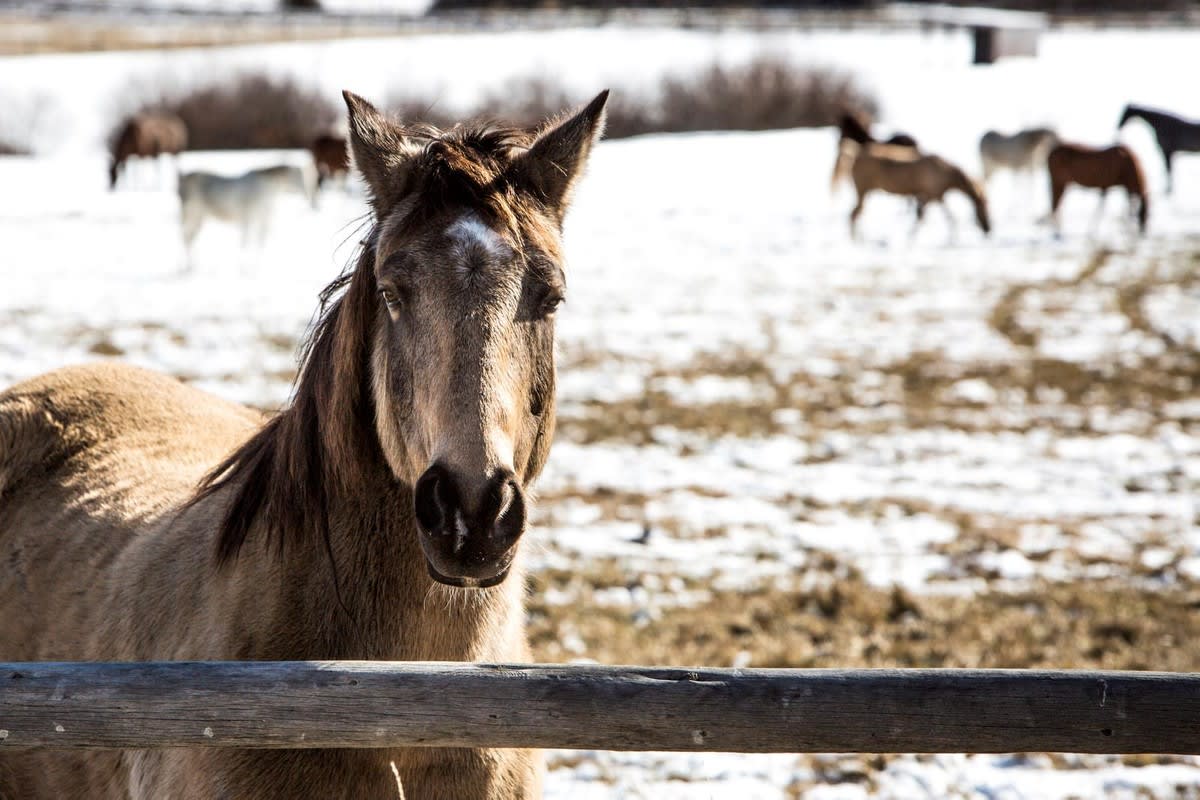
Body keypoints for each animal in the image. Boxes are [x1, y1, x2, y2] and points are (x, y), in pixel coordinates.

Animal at [835, 139, 993, 239]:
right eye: (983, 206)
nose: (989, 229)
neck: (947, 176)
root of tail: (855, 154)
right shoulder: (934, 195)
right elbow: (946, 217)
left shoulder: (930, 196)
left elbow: (921, 216)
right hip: (862, 190)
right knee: (854, 214)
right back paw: (857, 239)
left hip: (866, 191)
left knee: (856, 214)